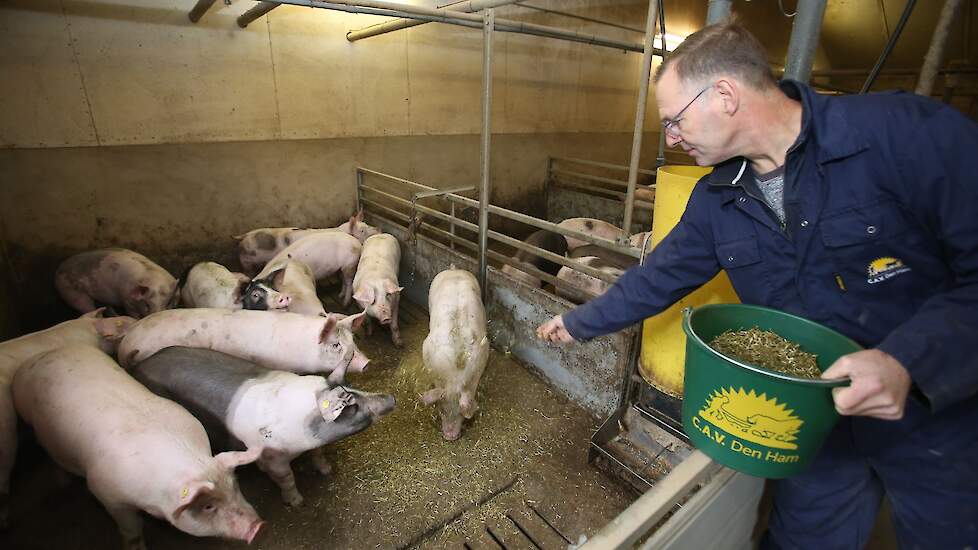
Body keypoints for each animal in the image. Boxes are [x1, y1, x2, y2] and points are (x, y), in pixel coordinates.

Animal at [12, 348, 264, 548]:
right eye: (208, 506)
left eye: (235, 486)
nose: (258, 526)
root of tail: (43, 355)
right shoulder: (107, 495)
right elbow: (131, 531)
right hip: (32, 421)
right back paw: (63, 483)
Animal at [132, 350, 394, 508]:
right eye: (352, 405)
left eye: (353, 387)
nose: (391, 398)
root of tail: (140, 364)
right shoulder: (272, 458)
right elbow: (286, 478)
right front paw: (297, 502)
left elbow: (318, 454)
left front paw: (326, 471)